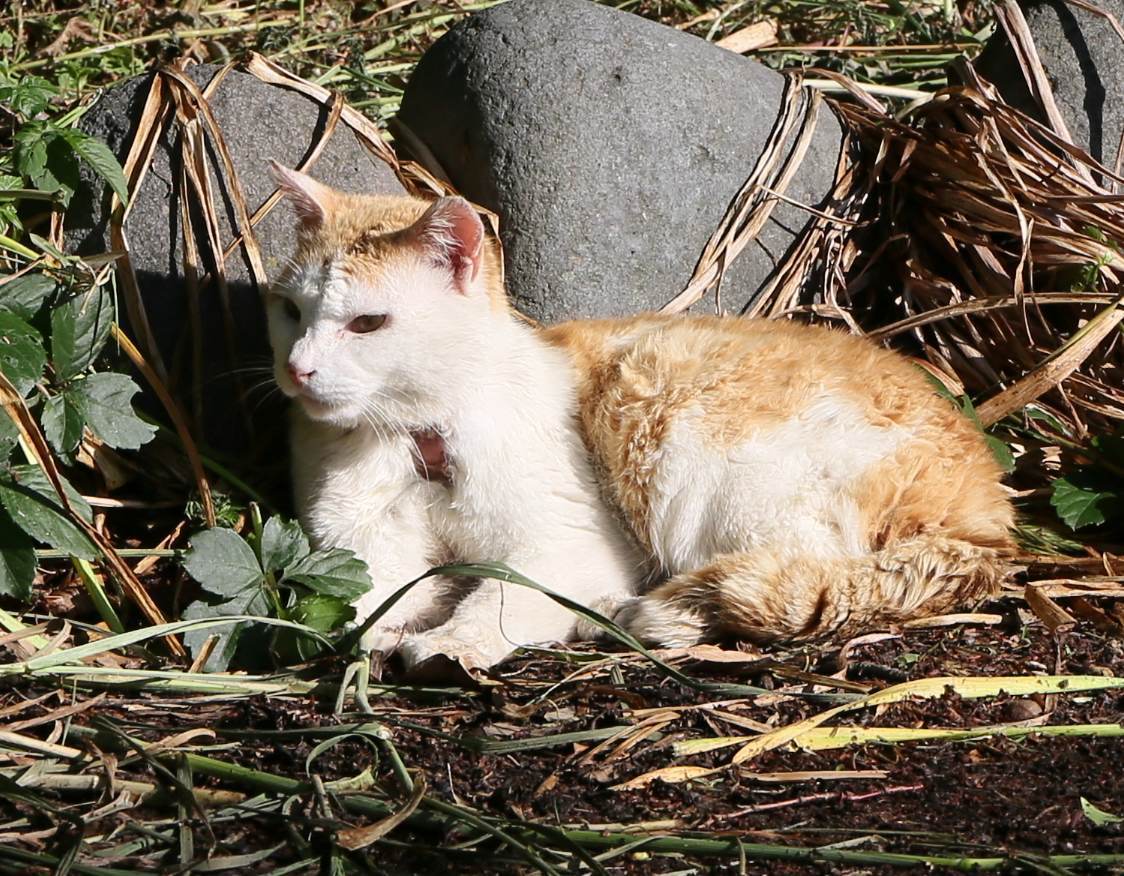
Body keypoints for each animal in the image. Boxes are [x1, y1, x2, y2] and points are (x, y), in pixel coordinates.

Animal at [267, 164, 1016, 670]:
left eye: (368, 324)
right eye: (290, 310)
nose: (298, 367)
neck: (423, 432)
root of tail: (988, 505)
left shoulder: (569, 544)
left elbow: (500, 595)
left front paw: (451, 640)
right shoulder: (356, 547)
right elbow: (364, 601)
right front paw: (392, 627)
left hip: (687, 437)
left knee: (803, 577)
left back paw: (644, 615)